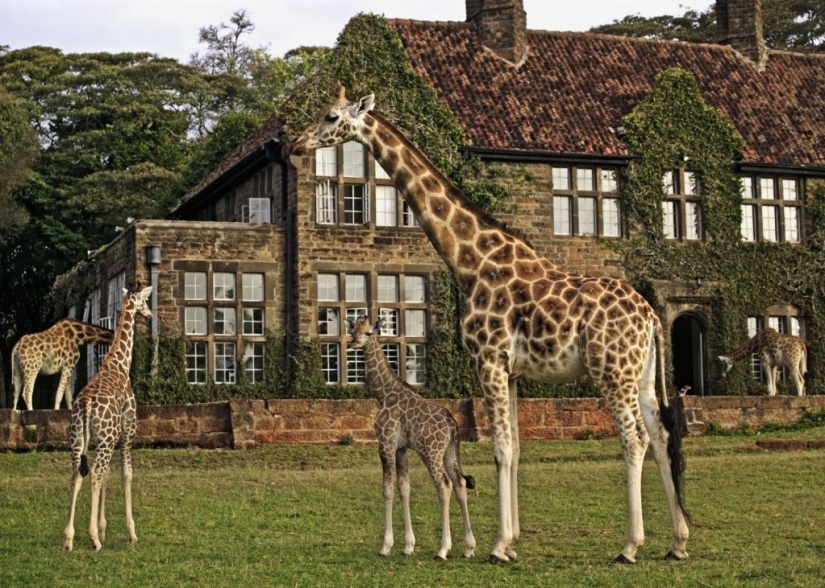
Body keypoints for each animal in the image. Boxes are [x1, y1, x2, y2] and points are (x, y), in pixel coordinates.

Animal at [62, 285, 152, 552]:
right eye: (145, 301)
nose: (150, 314)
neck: (120, 363)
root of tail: (86, 405)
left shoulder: (106, 439)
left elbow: (108, 476)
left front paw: (103, 528)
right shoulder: (126, 431)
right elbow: (126, 474)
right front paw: (131, 532)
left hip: (78, 440)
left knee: (77, 474)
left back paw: (69, 538)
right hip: (104, 439)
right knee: (93, 473)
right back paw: (92, 539)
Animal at [347, 316, 476, 560]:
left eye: (368, 332)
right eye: (352, 329)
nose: (353, 343)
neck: (384, 394)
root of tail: (452, 424)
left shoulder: (385, 443)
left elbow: (387, 489)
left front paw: (386, 546)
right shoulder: (402, 448)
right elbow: (404, 488)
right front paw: (408, 545)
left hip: (431, 451)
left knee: (444, 485)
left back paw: (443, 549)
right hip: (449, 452)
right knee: (460, 483)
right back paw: (468, 547)